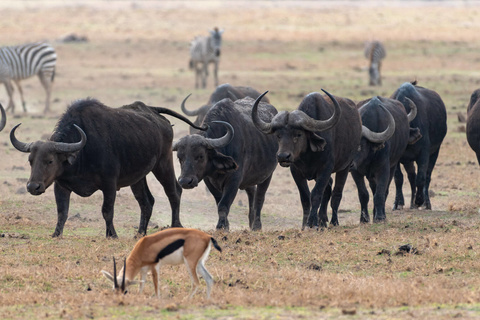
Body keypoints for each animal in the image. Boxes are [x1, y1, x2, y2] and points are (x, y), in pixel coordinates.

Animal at [11, 99, 205, 238]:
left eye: (50, 161)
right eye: (30, 160)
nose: (33, 186)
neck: (82, 152)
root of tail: (154, 112)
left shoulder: (109, 185)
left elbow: (107, 211)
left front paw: (111, 234)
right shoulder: (61, 186)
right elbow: (62, 212)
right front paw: (56, 234)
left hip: (163, 163)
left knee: (174, 192)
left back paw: (176, 226)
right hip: (138, 177)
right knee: (146, 201)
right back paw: (140, 233)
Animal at [172, 95, 278, 230]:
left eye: (200, 156)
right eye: (179, 157)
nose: (185, 181)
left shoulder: (234, 179)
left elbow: (223, 204)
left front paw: (221, 226)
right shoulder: (209, 180)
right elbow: (219, 202)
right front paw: (225, 225)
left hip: (267, 175)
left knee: (260, 197)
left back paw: (256, 225)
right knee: (252, 192)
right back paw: (251, 220)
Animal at [253, 89, 362, 229]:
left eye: (298, 134)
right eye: (278, 135)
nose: (283, 156)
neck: (308, 156)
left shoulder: (325, 169)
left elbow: (316, 194)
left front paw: (312, 223)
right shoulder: (296, 171)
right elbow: (305, 197)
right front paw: (305, 224)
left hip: (345, 166)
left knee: (336, 193)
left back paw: (333, 222)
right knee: (328, 189)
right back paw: (322, 221)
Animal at [348, 96, 420, 224]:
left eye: (359, 145)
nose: (348, 163)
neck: (368, 156)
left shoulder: (383, 169)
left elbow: (380, 193)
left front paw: (380, 217)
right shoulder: (355, 172)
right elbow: (363, 194)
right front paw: (364, 219)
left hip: (392, 166)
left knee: (383, 191)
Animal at [388, 80, 448, 210]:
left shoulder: (424, 154)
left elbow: (421, 177)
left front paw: (420, 200)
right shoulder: (397, 159)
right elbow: (398, 178)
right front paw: (398, 203)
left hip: (435, 152)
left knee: (427, 177)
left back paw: (426, 203)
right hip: (408, 160)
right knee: (411, 177)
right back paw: (411, 203)